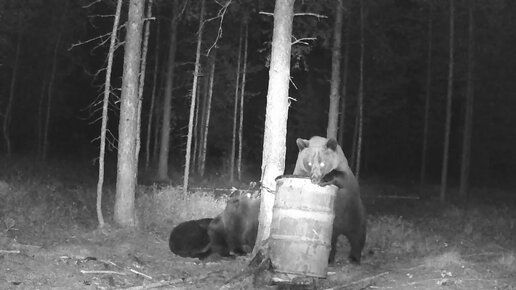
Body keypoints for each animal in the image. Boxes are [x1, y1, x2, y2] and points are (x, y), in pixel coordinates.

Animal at [294, 136, 366, 266]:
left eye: (322, 163)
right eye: (309, 163)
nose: (315, 178)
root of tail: (342, 230)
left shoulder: (344, 171)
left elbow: (342, 176)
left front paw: (325, 179)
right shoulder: (300, 168)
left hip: (355, 212)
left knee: (358, 235)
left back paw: (354, 258)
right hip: (330, 229)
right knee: (331, 243)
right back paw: (329, 259)